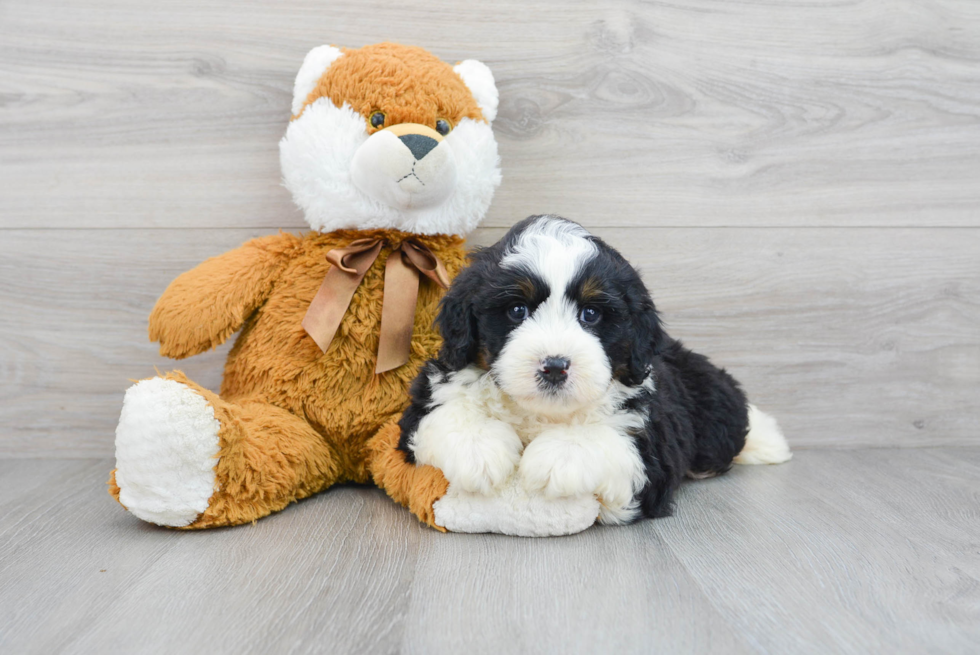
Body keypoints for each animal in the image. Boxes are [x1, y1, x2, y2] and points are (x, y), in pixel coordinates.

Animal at [396, 215, 788, 528]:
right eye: (517, 310)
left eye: (591, 314)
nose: (555, 366)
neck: (541, 414)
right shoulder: (426, 401)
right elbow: (444, 413)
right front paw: (478, 448)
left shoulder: (651, 453)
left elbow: (610, 440)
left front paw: (557, 456)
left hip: (713, 410)